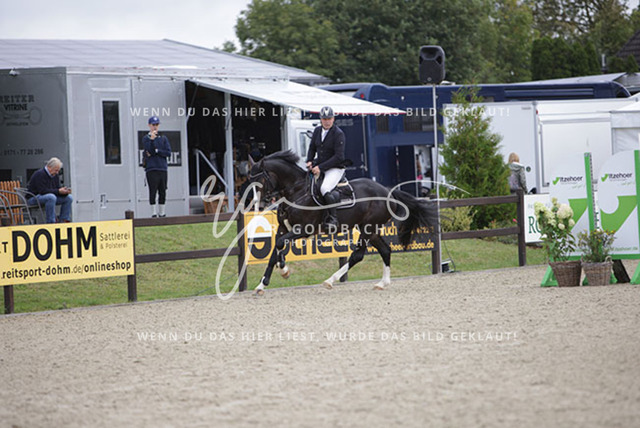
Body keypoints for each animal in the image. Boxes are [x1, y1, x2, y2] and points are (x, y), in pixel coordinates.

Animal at [248, 150, 438, 295]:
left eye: (261, 180)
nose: (258, 205)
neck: (297, 191)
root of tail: (387, 191)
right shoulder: (283, 228)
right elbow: (275, 250)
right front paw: (263, 283)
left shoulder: (303, 229)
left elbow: (280, 244)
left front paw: (284, 271)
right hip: (370, 229)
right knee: (385, 250)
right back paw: (382, 283)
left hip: (367, 229)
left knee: (357, 255)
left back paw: (330, 280)